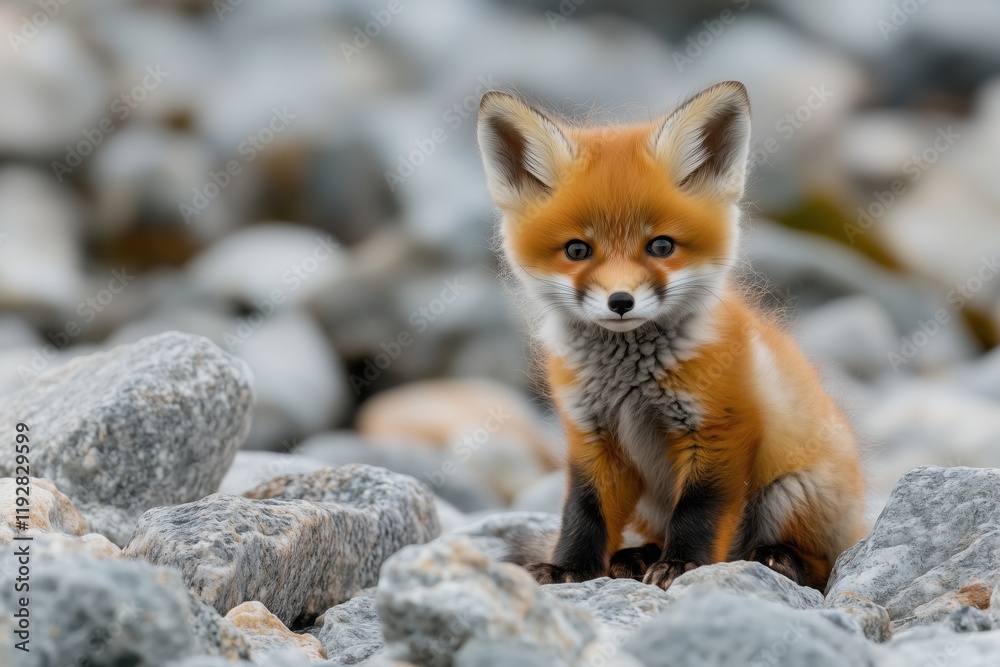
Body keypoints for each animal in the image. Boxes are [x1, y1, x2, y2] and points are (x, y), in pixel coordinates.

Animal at [476, 81, 867, 591]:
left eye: (661, 246)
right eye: (577, 250)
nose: (620, 301)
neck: (629, 382)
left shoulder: (720, 428)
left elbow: (700, 510)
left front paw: (684, 565)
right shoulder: (590, 435)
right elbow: (584, 512)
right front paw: (568, 568)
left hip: (789, 490)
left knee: (822, 565)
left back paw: (776, 558)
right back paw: (635, 556)